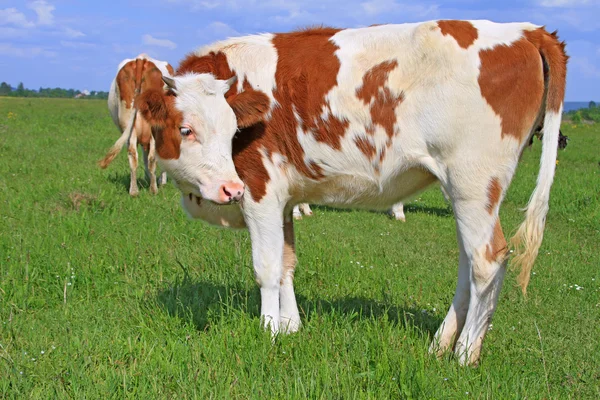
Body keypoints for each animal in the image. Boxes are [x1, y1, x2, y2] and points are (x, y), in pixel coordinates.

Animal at [100, 54, 175, 196]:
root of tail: (142, 59)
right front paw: (161, 181)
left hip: (128, 125)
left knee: (133, 154)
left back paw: (134, 190)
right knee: (151, 157)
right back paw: (153, 189)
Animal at [135, 21, 568, 366]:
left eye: (231, 131)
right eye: (186, 129)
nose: (230, 188)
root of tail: (525, 30)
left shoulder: (260, 189)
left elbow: (267, 267)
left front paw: (269, 331)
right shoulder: (286, 199)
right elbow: (288, 262)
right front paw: (291, 327)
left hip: (473, 181)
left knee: (487, 261)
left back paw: (464, 354)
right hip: (466, 191)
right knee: (469, 261)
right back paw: (442, 344)